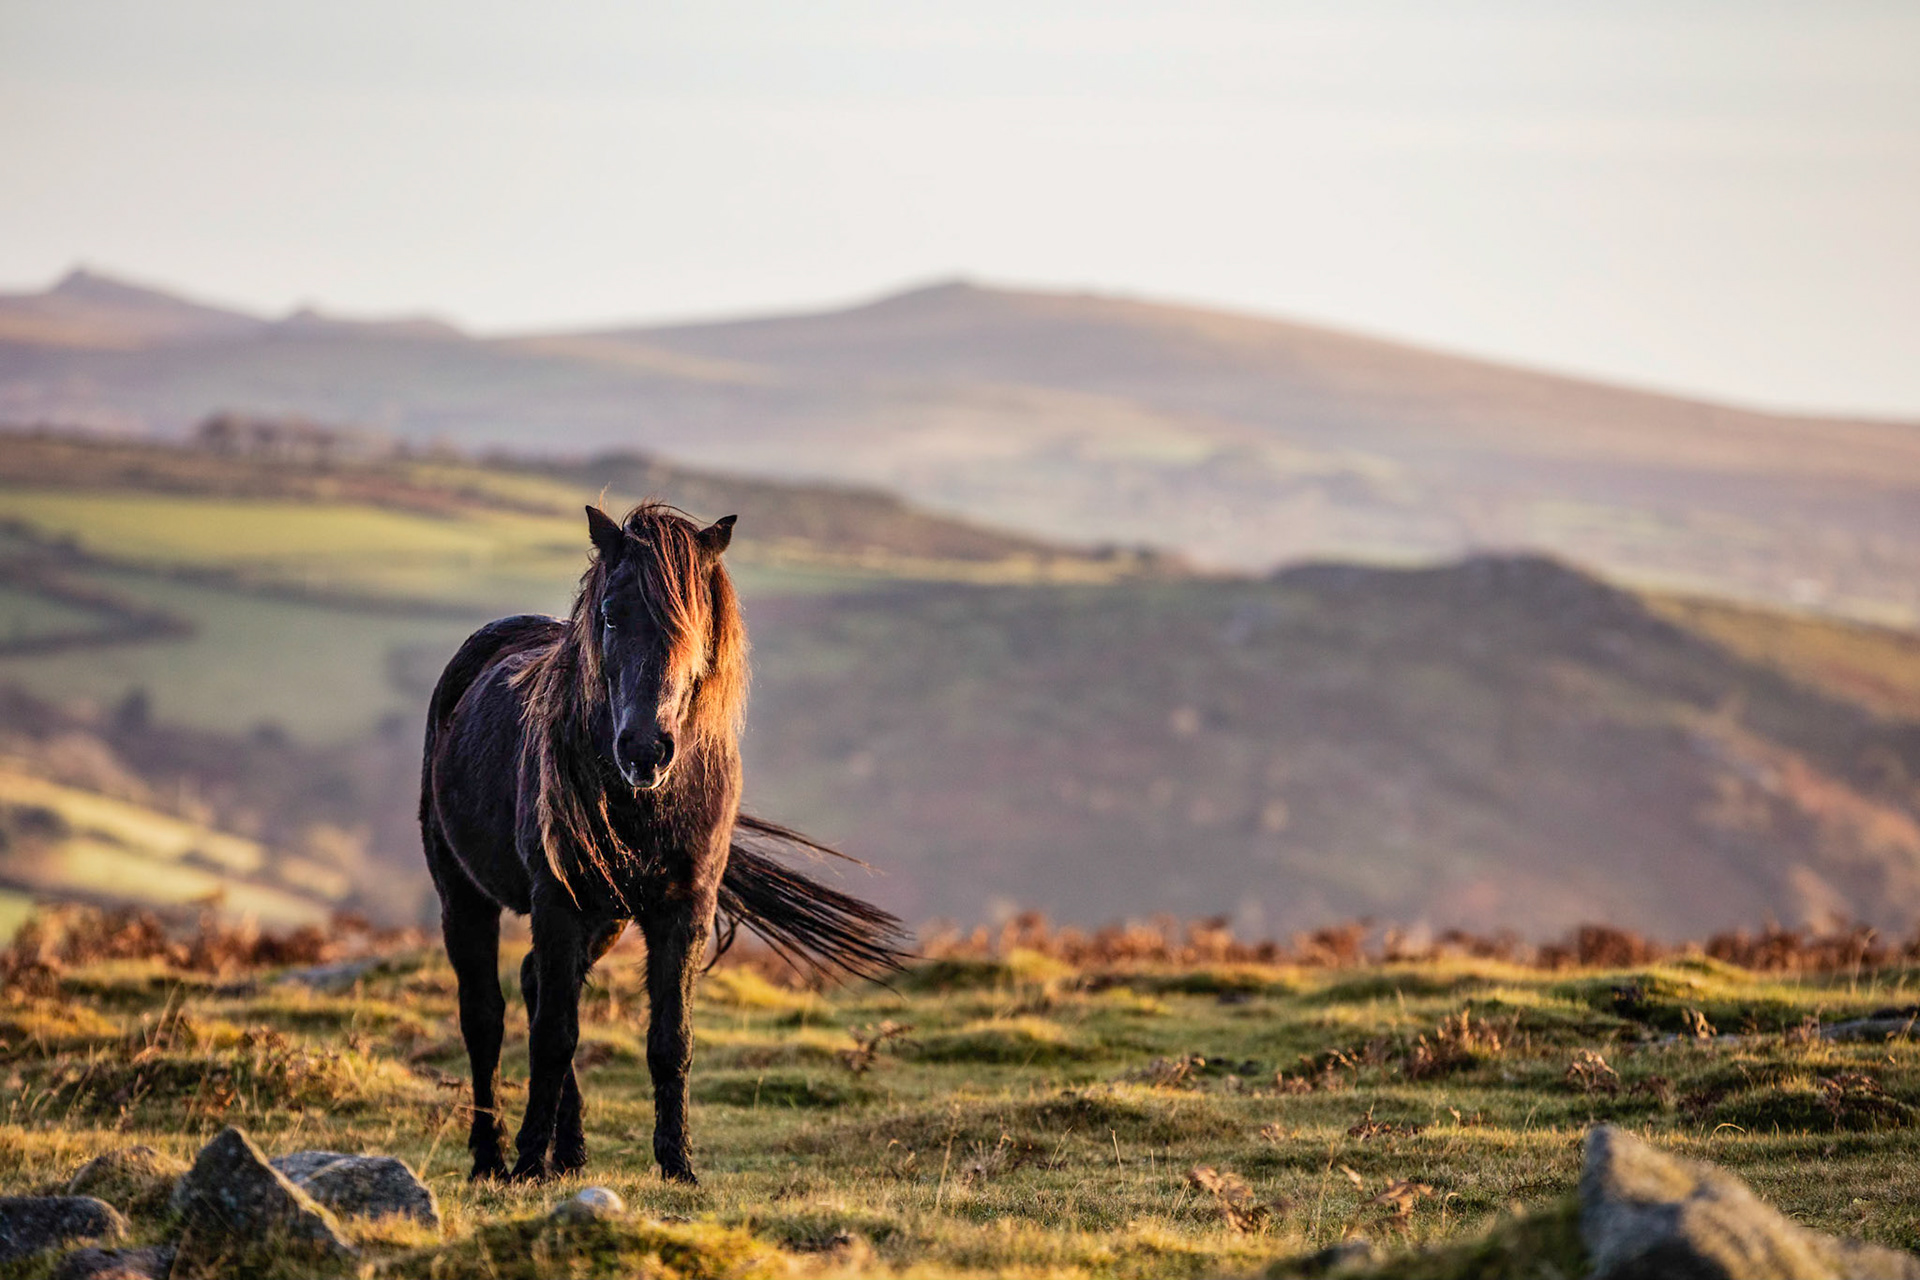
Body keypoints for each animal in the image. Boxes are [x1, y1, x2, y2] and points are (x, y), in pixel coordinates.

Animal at [419, 502, 907, 1183]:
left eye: (696, 623)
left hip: (608, 918)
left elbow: (670, 1041)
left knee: (534, 982)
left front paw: (678, 1165)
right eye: (610, 615)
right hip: (464, 894)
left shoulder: (683, 907)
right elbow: (553, 1036)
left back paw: (570, 1154)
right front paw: (527, 1164)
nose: (644, 750)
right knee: (485, 1017)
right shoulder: (557, 902)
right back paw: (493, 1159)